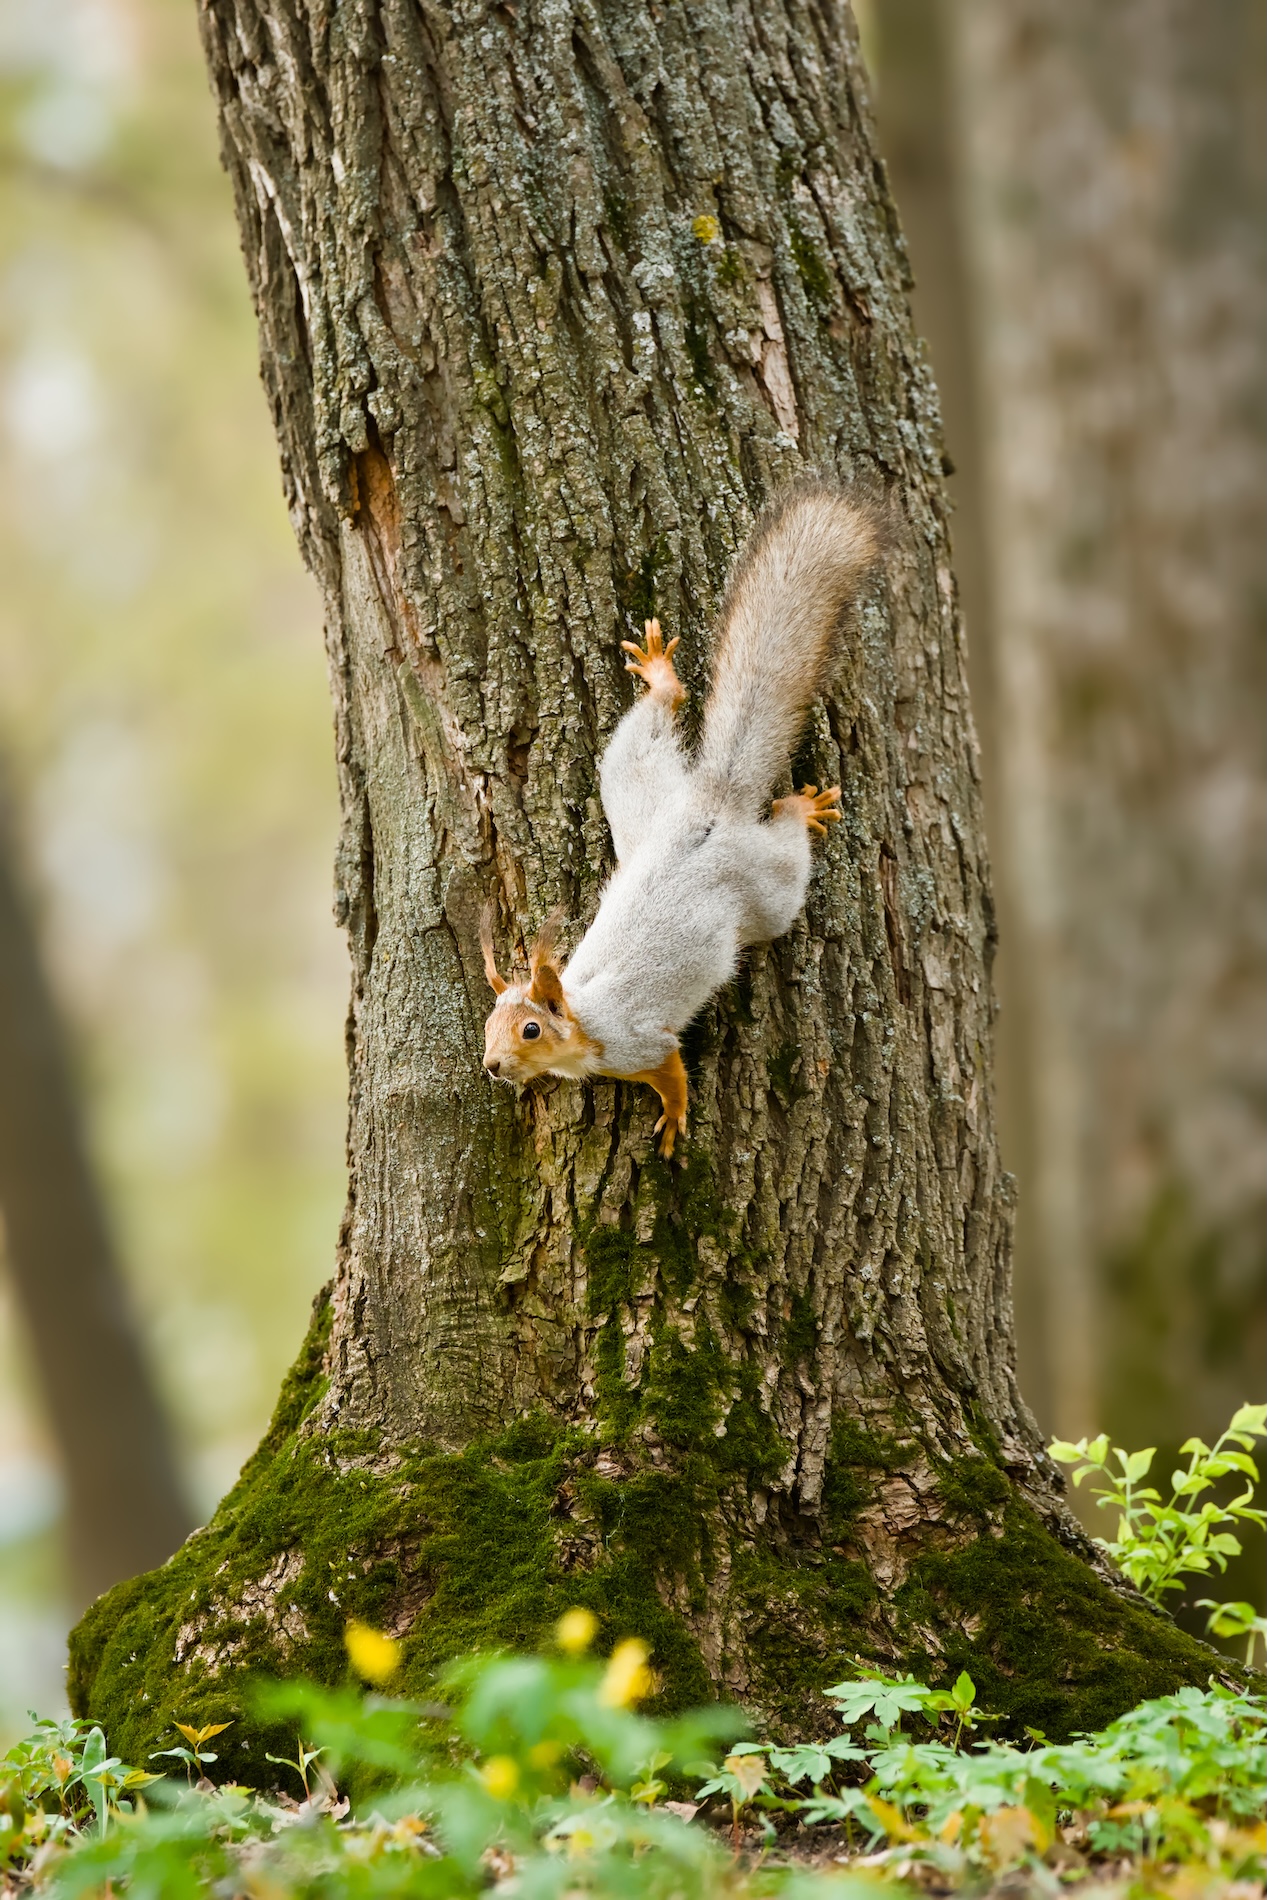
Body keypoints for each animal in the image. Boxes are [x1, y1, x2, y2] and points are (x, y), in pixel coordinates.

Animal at [480, 481, 881, 1157]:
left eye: (531, 1030)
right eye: (488, 1026)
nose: (490, 1066)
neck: (583, 1016)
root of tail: (710, 809)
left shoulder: (639, 1043)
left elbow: (670, 1071)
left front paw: (673, 1116)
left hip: (767, 886)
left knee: (784, 853)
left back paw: (800, 807)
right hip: (634, 792)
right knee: (655, 722)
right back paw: (660, 678)